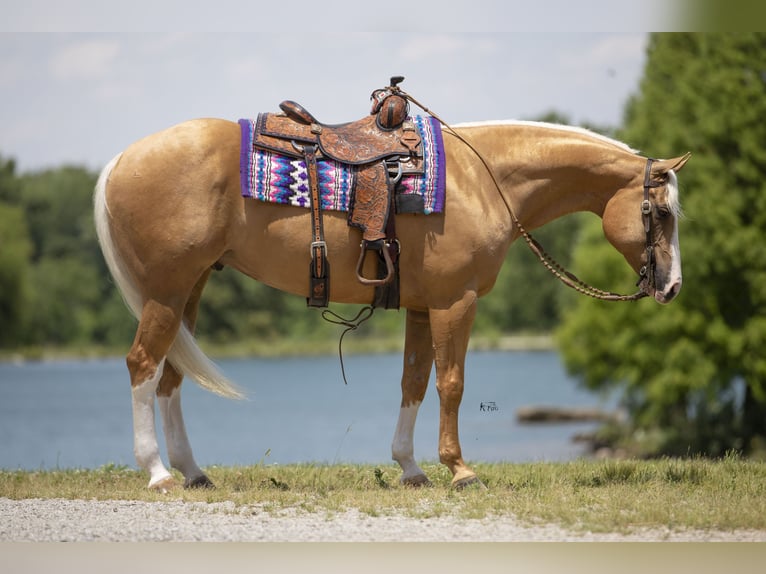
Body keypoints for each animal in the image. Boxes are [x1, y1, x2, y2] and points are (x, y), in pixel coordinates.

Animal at [93, 119, 692, 492]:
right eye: (661, 212)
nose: (672, 288)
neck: (484, 180)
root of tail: (121, 158)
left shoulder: (424, 307)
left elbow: (415, 382)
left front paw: (410, 468)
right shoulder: (455, 303)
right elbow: (452, 383)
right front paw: (460, 470)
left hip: (189, 290)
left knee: (170, 375)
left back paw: (193, 472)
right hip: (166, 290)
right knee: (142, 365)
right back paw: (157, 473)